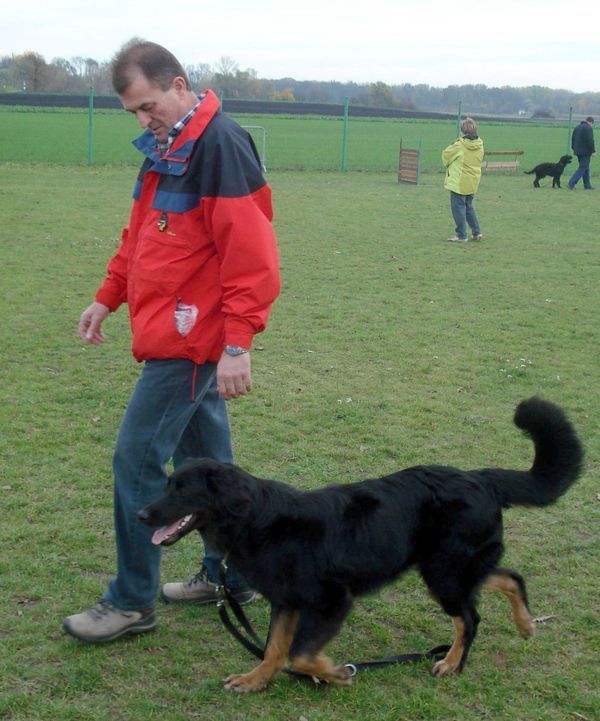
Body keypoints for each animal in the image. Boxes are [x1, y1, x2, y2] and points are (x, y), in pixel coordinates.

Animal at [139, 400, 580, 692]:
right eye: (167, 484)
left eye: (181, 490)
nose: (141, 514)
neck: (256, 519)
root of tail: (481, 478)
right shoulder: (287, 602)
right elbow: (275, 650)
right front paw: (255, 680)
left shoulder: (332, 600)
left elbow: (300, 653)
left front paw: (333, 673)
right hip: (449, 567)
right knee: (508, 578)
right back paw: (525, 624)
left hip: (444, 573)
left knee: (469, 618)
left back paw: (452, 663)